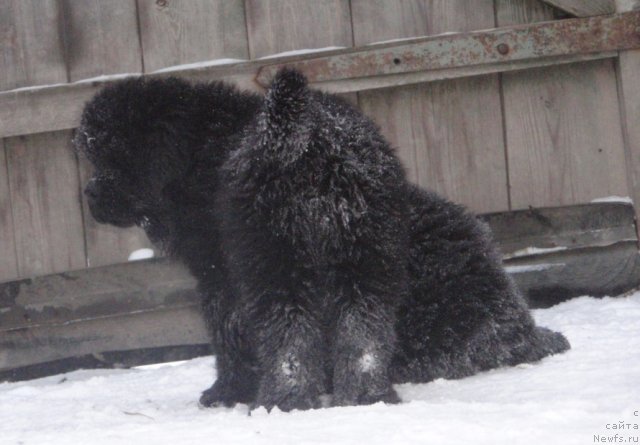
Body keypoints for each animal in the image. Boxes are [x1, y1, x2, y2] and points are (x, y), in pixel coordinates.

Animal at [76, 68, 568, 410]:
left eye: (109, 156)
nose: (89, 194)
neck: (202, 154)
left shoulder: (224, 274)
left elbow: (229, 335)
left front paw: (226, 392)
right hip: (364, 257)